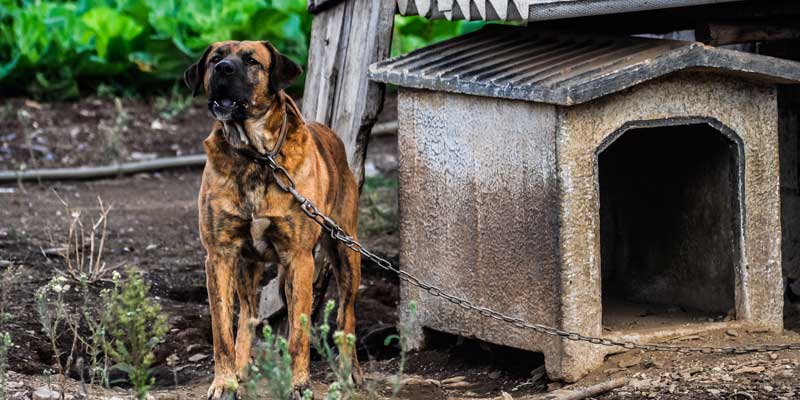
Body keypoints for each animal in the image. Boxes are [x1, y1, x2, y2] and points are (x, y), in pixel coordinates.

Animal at [186, 40, 360, 400]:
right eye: (214, 59)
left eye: (252, 61)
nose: (223, 68)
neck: (256, 157)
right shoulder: (219, 256)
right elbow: (222, 329)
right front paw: (224, 382)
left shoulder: (299, 258)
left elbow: (298, 334)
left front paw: (300, 384)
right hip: (246, 266)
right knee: (248, 315)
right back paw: (241, 368)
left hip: (346, 251)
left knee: (345, 317)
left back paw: (349, 375)